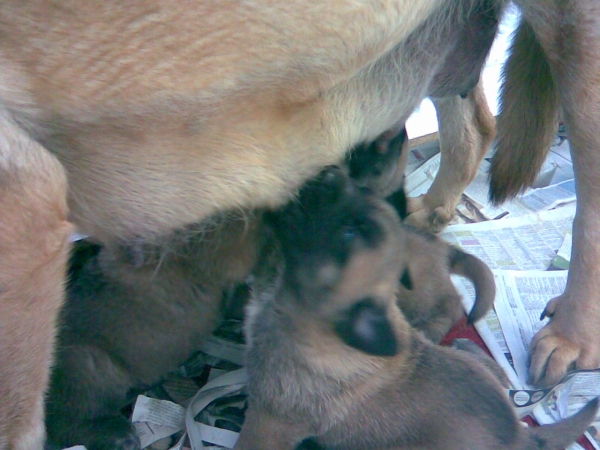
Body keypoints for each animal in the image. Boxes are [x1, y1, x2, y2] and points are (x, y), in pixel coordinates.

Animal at [237, 166, 596, 450]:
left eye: (348, 232)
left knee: (453, 307)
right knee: (498, 376)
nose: (329, 172)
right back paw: (466, 346)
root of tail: (520, 437)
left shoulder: (268, 421)